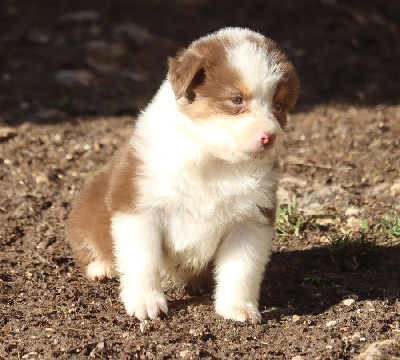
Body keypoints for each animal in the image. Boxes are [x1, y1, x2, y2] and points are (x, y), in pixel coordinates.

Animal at [67, 27, 298, 324]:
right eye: (236, 99)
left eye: (279, 106)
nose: (269, 137)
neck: (215, 162)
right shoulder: (139, 208)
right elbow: (142, 260)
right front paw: (145, 303)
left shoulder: (250, 220)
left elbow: (242, 269)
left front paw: (238, 308)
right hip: (85, 213)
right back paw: (102, 267)